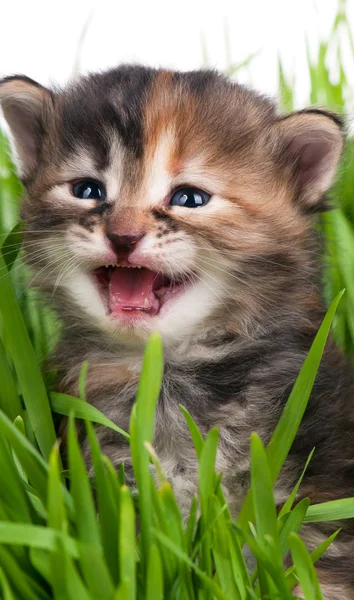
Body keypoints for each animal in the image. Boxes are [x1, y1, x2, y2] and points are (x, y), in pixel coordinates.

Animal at [0, 64, 354, 596]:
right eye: (87, 190)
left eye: (189, 198)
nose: (123, 236)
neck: (172, 369)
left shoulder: (319, 479)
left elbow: (318, 560)